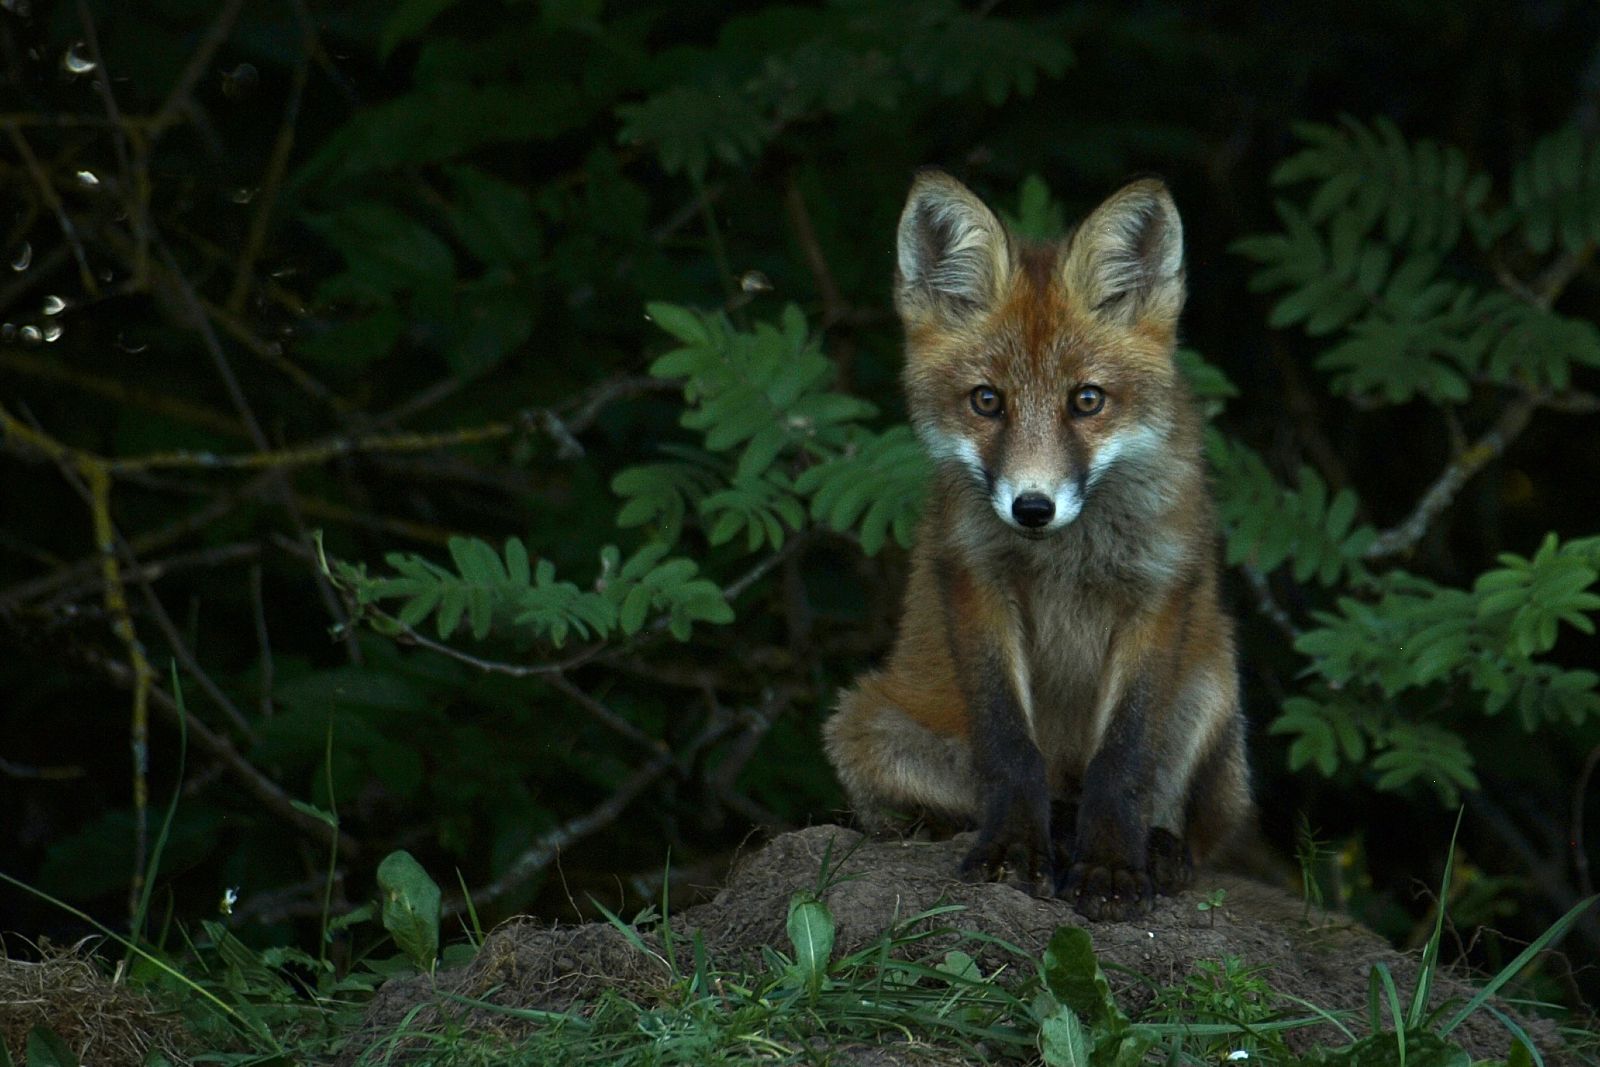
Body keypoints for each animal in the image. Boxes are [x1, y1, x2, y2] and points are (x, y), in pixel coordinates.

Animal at [825, 171, 1248, 921]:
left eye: (1087, 400)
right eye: (986, 401)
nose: (1032, 506)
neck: (1065, 556)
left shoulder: (1159, 590)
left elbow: (1123, 760)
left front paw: (1110, 865)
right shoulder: (975, 579)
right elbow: (1011, 750)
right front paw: (1015, 850)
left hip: (1212, 674)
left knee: (1176, 811)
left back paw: (1159, 848)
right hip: (863, 724)